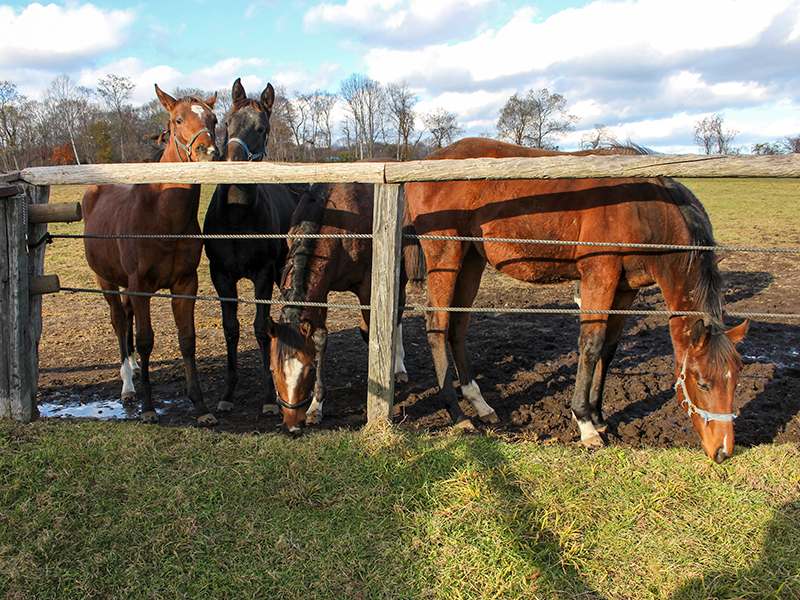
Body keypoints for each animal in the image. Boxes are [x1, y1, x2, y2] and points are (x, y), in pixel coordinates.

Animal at [82, 85, 219, 426]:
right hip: (106, 279)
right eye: (178, 119)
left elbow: (187, 340)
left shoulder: (185, 284)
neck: (162, 216)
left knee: (127, 316)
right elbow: (145, 340)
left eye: (214, 119)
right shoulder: (140, 284)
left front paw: (200, 406)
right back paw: (128, 385)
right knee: (119, 320)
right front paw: (147, 405)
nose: (208, 152)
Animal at [202, 78, 306, 416]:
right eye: (225, 123)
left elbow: (260, 328)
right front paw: (227, 393)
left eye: (262, 128)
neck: (237, 220)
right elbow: (230, 328)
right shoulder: (221, 276)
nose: (233, 164)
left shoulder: (262, 274)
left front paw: (268, 397)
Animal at [266, 176, 415, 433]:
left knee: (396, 312)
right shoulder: (321, 291)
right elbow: (319, 339)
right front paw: (316, 407)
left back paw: (398, 367)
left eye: (308, 370)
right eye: (273, 370)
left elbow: (371, 334)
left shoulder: (367, 287)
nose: (292, 426)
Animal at [404, 137, 748, 463]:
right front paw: (584, 423)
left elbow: (608, 348)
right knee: (437, 325)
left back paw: (480, 404)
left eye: (735, 380)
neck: (644, 207)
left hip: (472, 259)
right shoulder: (599, 274)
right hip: (446, 256)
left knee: (458, 326)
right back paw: (457, 414)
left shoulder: (626, 288)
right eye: (702, 383)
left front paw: (598, 416)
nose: (722, 450)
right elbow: (591, 345)